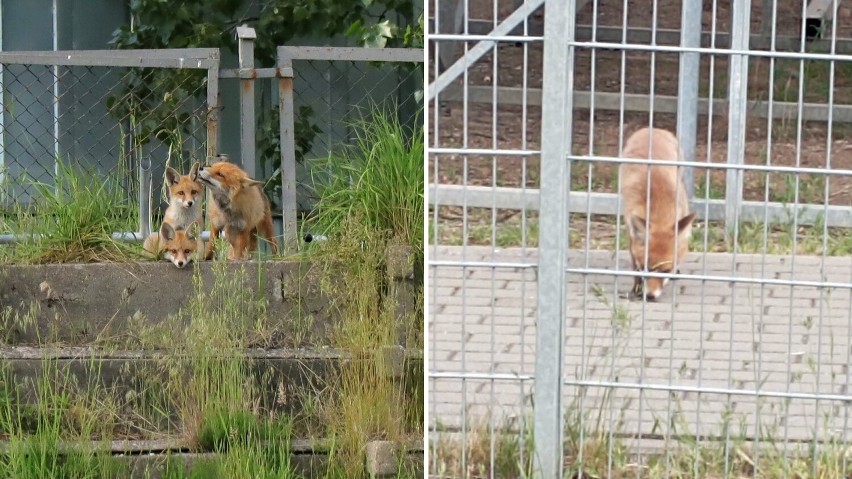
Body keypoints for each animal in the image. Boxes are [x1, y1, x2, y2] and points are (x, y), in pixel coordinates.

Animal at [624, 127, 696, 300]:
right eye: (645, 267)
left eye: (666, 270)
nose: (650, 296)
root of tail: (652, 128)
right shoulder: (630, 229)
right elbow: (634, 263)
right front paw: (636, 287)